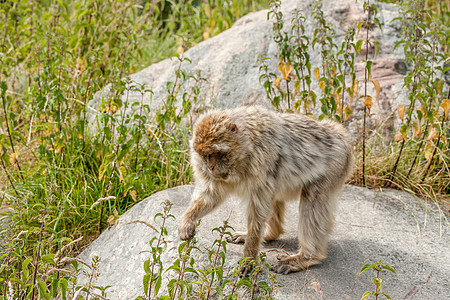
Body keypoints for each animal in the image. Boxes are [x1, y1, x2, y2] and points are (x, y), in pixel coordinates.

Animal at [178, 105, 354, 274]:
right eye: (204, 155)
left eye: (215, 153)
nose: (211, 167)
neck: (244, 150)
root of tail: (340, 133)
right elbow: (211, 195)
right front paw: (187, 221)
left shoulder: (262, 159)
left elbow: (258, 210)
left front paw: (249, 258)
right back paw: (270, 233)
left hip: (334, 166)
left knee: (313, 202)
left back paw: (305, 257)